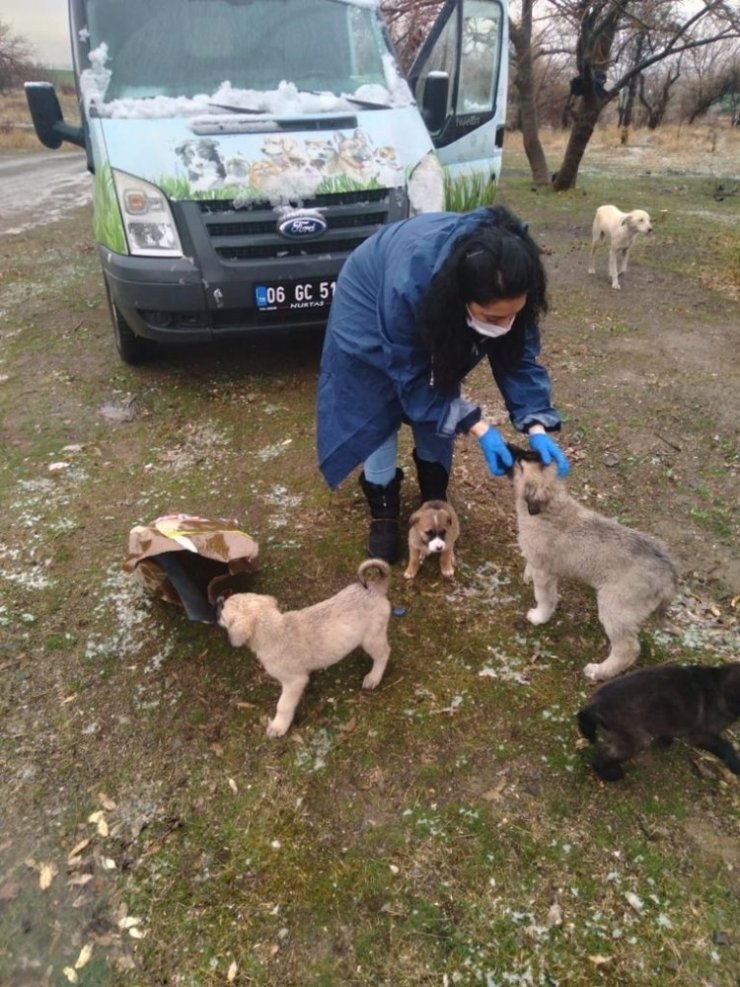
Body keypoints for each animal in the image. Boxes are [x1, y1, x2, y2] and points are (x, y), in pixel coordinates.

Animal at [217, 560, 394, 736]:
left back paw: (373, 677)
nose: (218, 600)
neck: (277, 631)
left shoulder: (293, 682)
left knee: (384, 654)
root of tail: (374, 588)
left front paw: (278, 726)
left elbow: (283, 705)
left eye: (223, 612)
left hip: (372, 639)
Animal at [508, 450, 676, 688]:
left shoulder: (546, 573)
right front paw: (526, 575)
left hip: (615, 607)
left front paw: (539, 617)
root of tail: (668, 572)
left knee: (628, 649)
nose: (511, 450)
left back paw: (599, 672)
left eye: (521, 465)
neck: (549, 509)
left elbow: (545, 598)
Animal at [580, 660, 740, 784]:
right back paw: (612, 774)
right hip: (636, 741)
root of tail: (594, 705)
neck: (721, 687)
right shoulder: (702, 736)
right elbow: (726, 747)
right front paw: (735, 764)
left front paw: (665, 742)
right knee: (600, 758)